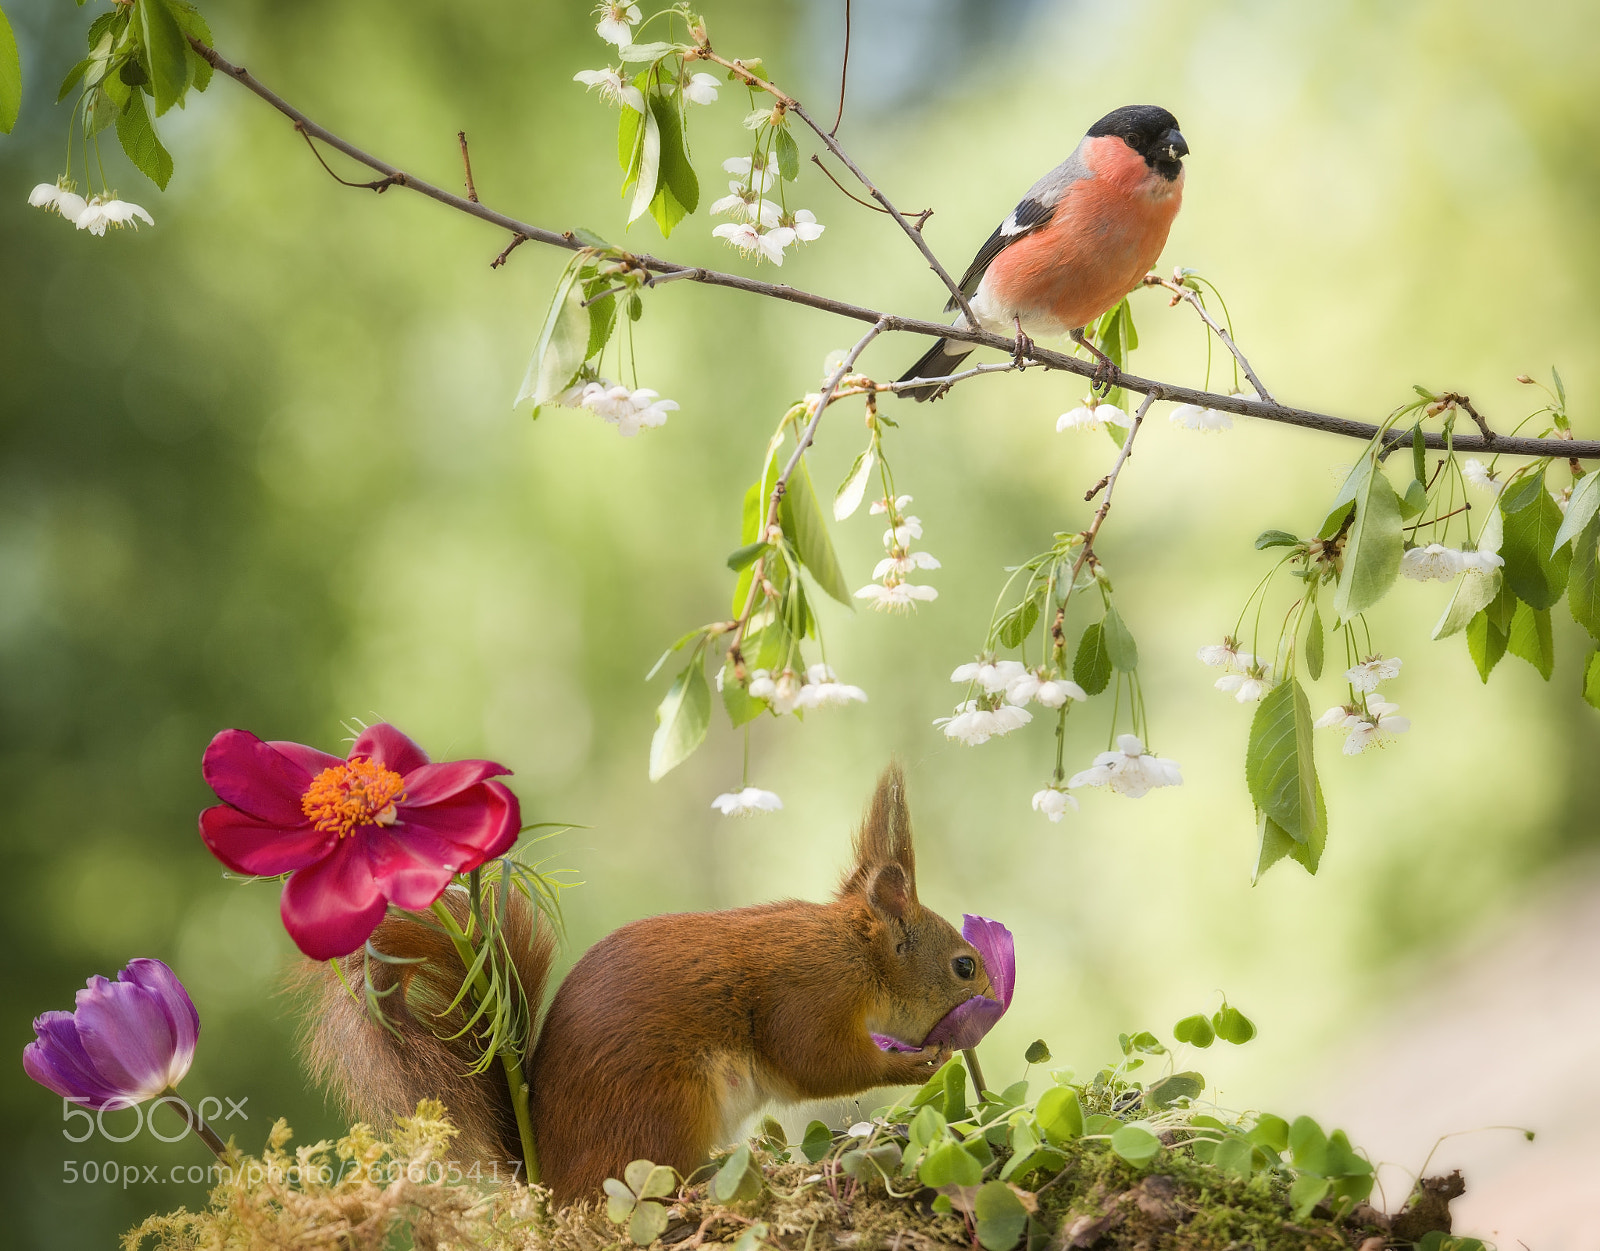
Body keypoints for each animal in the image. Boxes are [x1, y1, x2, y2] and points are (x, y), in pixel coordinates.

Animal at [297, 764, 992, 1204]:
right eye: (965, 966)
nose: (992, 1006)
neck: (857, 956)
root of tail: (550, 1181)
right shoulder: (809, 993)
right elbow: (818, 1064)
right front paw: (919, 1064)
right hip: (668, 1109)